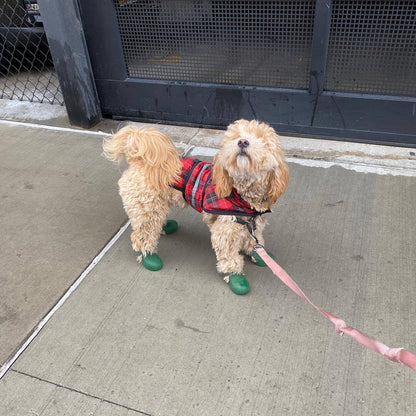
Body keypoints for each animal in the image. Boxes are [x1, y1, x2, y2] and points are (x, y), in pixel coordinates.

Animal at [102, 118, 288, 294]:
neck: (242, 194)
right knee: (142, 235)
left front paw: (257, 253)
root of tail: (140, 158)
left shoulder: (253, 222)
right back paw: (149, 256)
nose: (242, 141)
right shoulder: (225, 232)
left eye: (262, 139)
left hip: (155, 205)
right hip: (146, 205)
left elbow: (254, 239)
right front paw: (236, 276)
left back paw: (165, 226)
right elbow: (229, 257)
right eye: (235, 137)